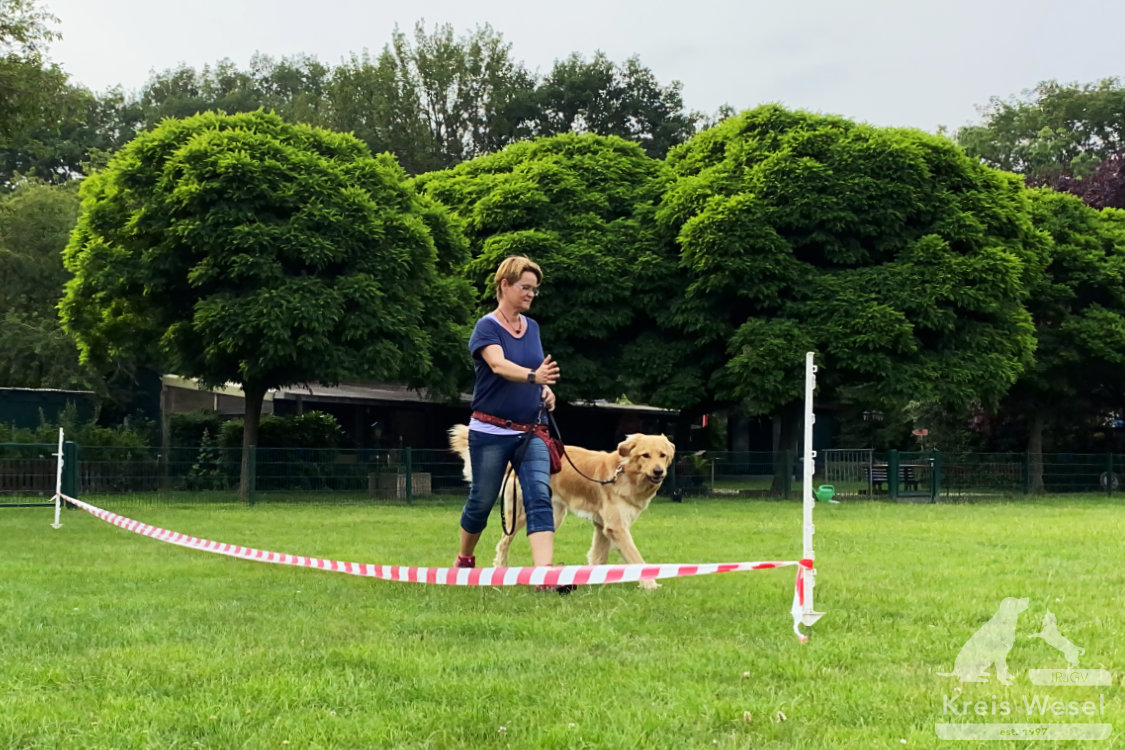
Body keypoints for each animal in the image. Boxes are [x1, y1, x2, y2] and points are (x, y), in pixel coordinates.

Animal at [450, 425, 675, 589]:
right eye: (645, 455)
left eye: (662, 455)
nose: (659, 472)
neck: (625, 473)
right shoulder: (617, 527)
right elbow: (636, 557)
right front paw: (650, 584)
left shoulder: (603, 526)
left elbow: (598, 556)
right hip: (522, 514)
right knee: (504, 542)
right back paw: (501, 570)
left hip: (554, 514)